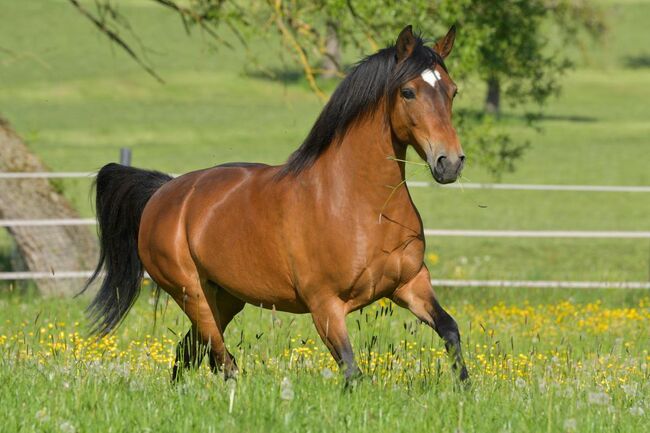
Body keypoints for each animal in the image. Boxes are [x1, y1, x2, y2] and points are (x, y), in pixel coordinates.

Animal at [85, 24, 466, 382]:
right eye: (408, 92)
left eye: (452, 90)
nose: (449, 162)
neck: (361, 207)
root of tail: (163, 193)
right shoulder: (325, 306)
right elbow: (351, 371)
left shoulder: (411, 283)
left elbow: (450, 331)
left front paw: (463, 392)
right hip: (192, 295)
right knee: (222, 361)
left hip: (224, 298)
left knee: (188, 353)